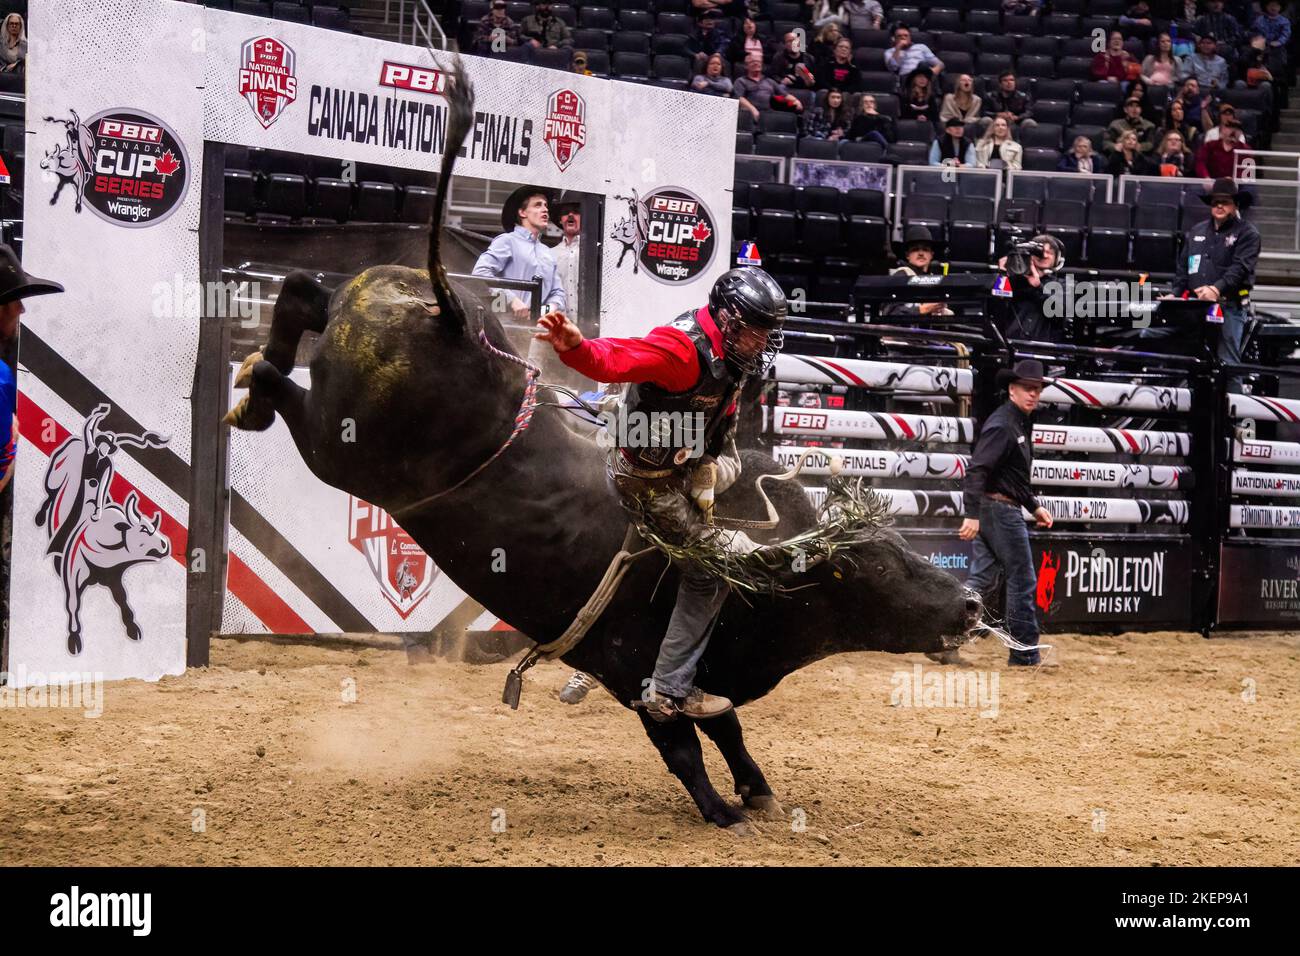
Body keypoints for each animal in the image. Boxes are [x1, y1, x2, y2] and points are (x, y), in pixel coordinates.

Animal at [226, 63, 977, 832]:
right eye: (878, 569)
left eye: (907, 549)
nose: (973, 604)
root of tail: (453, 317)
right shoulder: (630, 666)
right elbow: (684, 742)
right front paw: (722, 810)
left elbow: (726, 725)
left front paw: (757, 788)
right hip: (342, 447)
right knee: (285, 383)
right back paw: (250, 394)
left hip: (359, 339)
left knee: (303, 290)